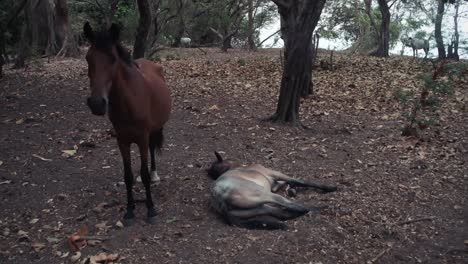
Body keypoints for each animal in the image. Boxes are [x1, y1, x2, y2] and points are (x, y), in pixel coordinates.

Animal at [83, 22, 171, 225]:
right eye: (88, 58)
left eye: (112, 59)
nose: (97, 103)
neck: (129, 101)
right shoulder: (122, 140)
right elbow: (128, 175)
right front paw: (130, 210)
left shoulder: (142, 138)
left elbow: (144, 174)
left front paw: (151, 209)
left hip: (152, 131)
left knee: (152, 151)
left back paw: (155, 174)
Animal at [206, 152, 336, 230]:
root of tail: (218, 195)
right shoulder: (275, 174)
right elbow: (299, 181)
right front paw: (330, 188)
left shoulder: (273, 184)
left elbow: (285, 183)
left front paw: (292, 189)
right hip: (266, 195)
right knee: (295, 206)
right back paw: (322, 207)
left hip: (258, 207)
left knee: (279, 213)